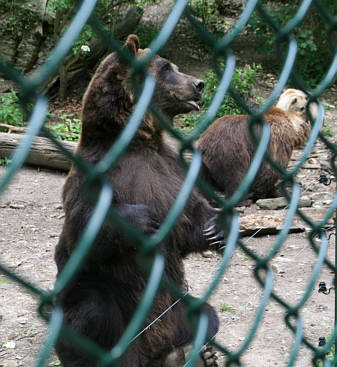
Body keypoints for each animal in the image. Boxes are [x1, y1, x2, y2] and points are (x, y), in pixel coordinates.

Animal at [54, 34, 223, 367]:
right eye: (167, 68)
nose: (199, 83)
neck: (136, 141)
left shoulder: (170, 170)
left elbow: (188, 217)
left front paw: (214, 226)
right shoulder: (95, 175)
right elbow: (83, 226)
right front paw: (141, 219)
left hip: (176, 306)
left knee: (206, 314)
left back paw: (194, 351)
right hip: (106, 296)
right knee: (91, 310)